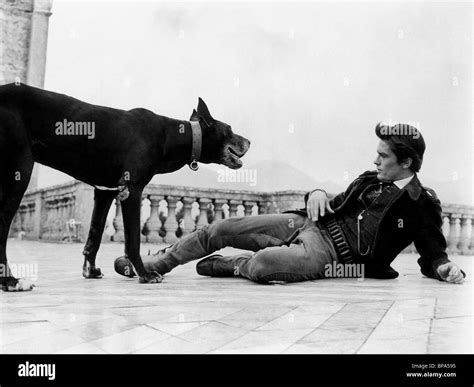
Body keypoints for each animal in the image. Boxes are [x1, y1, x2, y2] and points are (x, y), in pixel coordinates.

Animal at [0, 84, 250, 292]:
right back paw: (10, 281)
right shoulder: (132, 190)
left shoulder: (105, 191)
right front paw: (145, 274)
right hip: (18, 173)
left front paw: (90, 271)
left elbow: (94, 235)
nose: (249, 141)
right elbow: (132, 240)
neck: (170, 135)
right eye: (229, 129)